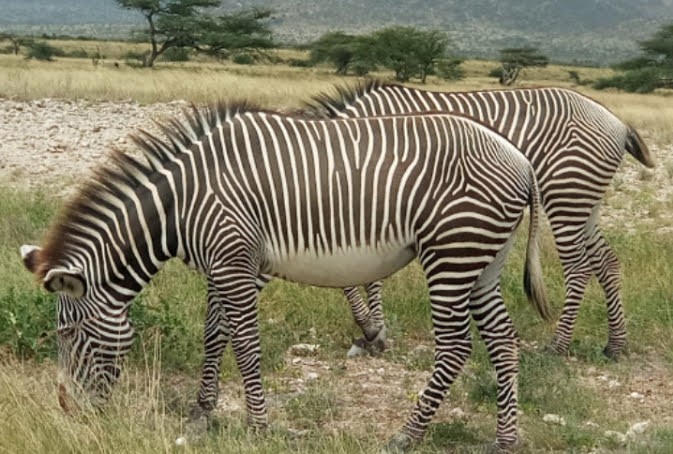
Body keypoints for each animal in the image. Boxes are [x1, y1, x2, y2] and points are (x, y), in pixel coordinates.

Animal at [20, 102, 550, 452]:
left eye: (66, 333)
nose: (69, 411)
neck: (180, 205)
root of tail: (521, 159)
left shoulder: (235, 262)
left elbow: (246, 347)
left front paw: (257, 426)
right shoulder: (226, 266)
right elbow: (215, 335)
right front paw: (200, 413)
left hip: (452, 252)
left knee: (457, 347)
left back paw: (408, 434)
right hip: (483, 258)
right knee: (503, 340)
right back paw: (505, 438)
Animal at [306, 80, 655, 359]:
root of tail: (617, 122)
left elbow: (361, 276)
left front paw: (373, 331)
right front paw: (372, 331)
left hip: (566, 196)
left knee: (580, 268)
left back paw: (559, 346)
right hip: (585, 203)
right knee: (607, 262)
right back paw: (615, 345)